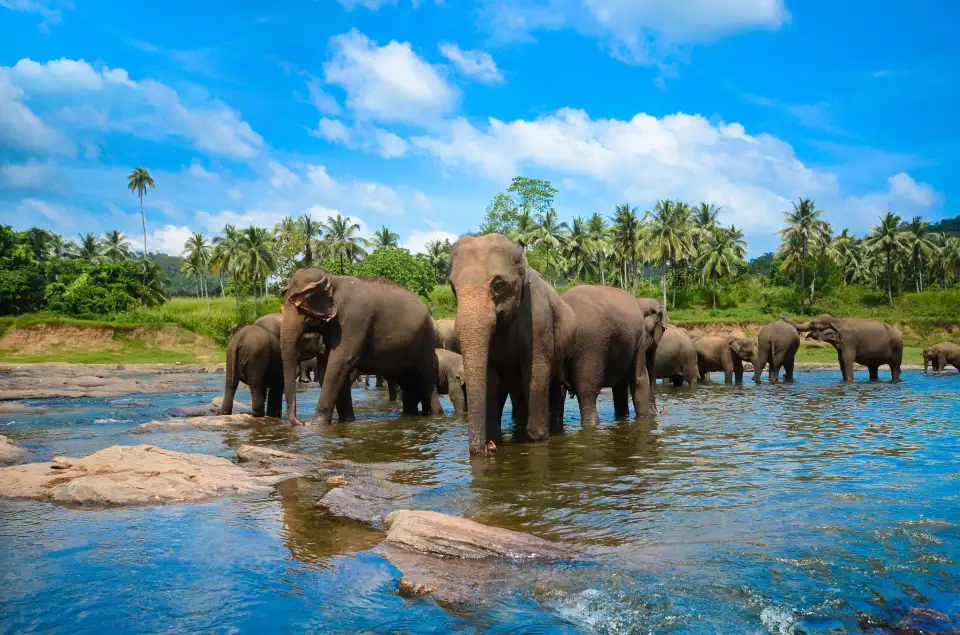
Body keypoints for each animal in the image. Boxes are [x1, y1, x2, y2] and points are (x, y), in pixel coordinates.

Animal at [280, 268, 441, 425]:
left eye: (302, 311)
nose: (300, 421)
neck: (332, 279)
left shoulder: (355, 319)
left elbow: (339, 362)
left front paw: (315, 424)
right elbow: (326, 367)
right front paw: (346, 420)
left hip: (427, 341)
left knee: (426, 379)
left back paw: (435, 414)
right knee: (408, 382)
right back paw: (409, 414)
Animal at [449, 233, 576, 455]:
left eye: (498, 284)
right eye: (452, 288)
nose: (487, 448)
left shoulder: (539, 321)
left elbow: (535, 373)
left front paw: (538, 439)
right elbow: (491, 379)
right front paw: (495, 439)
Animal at [561, 285, 664, 426]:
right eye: (656, 328)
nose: (657, 413)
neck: (640, 300)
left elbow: (621, 386)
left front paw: (623, 418)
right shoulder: (639, 338)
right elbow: (640, 378)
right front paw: (644, 420)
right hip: (591, 346)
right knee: (587, 391)